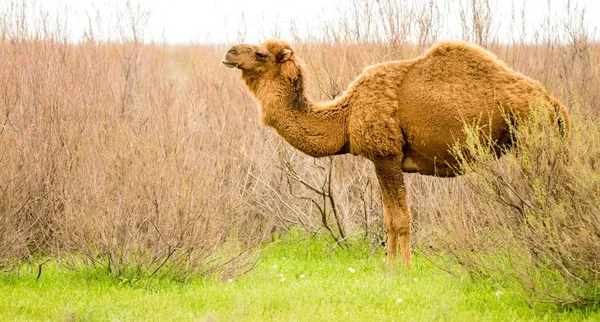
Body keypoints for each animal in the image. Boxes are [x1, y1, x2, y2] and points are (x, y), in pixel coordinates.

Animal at [223, 39, 568, 266]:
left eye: (260, 53)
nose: (229, 52)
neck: (346, 115)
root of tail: (554, 104)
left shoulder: (385, 154)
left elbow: (400, 219)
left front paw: (402, 269)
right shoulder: (383, 160)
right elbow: (389, 218)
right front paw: (390, 266)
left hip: (533, 141)